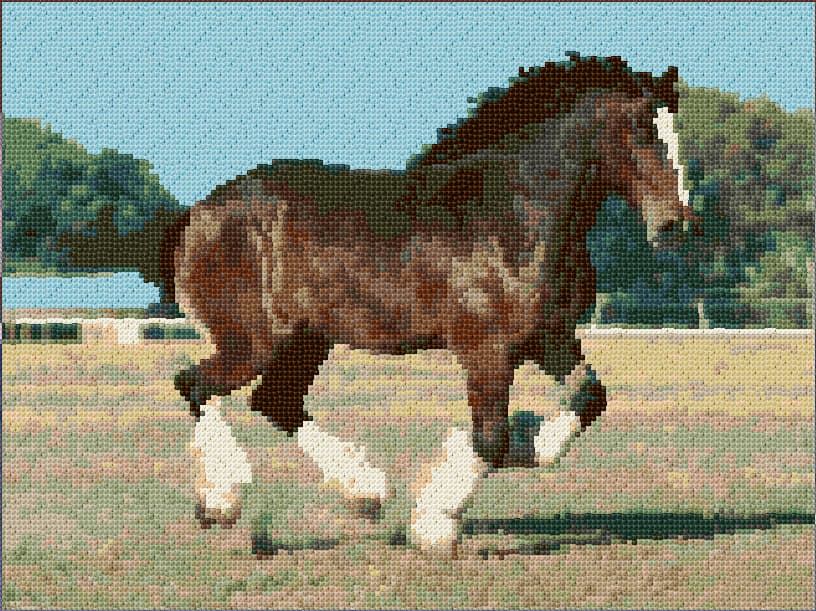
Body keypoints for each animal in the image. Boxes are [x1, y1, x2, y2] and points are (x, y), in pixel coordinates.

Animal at [162, 54, 692, 551]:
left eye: (674, 126)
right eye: (641, 129)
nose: (677, 225)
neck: (516, 214)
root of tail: (199, 214)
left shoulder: (548, 336)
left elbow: (585, 401)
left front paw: (526, 435)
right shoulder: (485, 349)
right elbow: (491, 439)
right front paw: (435, 522)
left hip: (306, 340)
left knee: (275, 402)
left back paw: (366, 490)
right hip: (253, 342)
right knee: (195, 384)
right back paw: (221, 500)